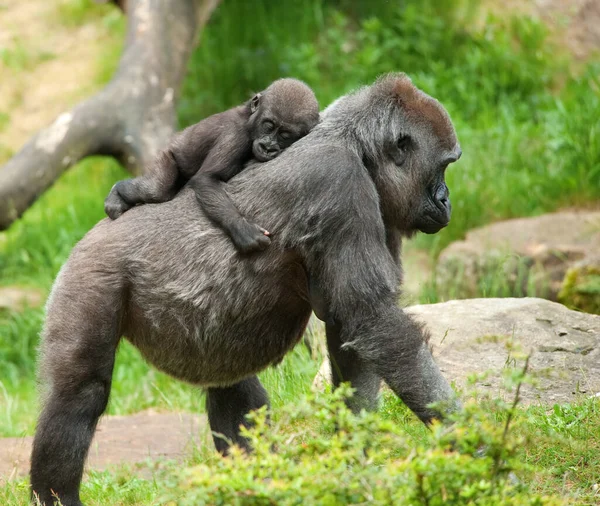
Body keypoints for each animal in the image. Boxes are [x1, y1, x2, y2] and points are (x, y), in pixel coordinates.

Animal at [103, 78, 322, 252]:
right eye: (268, 125)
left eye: (285, 136)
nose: (268, 147)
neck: (250, 119)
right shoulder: (235, 135)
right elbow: (206, 179)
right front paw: (241, 227)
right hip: (167, 154)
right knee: (156, 189)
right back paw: (118, 192)